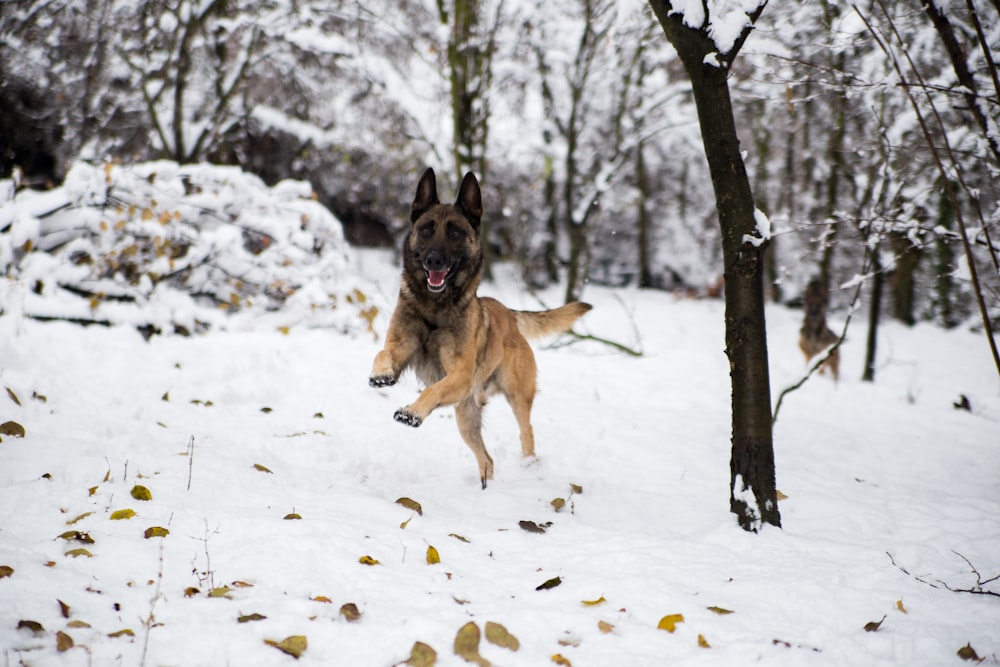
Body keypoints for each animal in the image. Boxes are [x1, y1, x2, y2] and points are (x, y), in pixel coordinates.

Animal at [370, 170, 588, 488]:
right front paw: (381, 374)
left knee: (527, 433)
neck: (434, 308)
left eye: (455, 233)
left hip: (516, 397)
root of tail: (509, 314)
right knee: (487, 460)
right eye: (426, 229)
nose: (434, 260)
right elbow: (382, 354)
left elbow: (432, 390)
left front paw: (412, 412)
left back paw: (528, 466)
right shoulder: (400, 347)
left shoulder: (459, 376)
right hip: (466, 416)